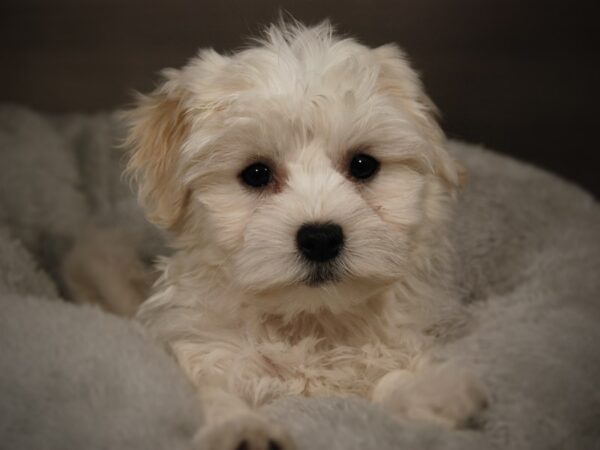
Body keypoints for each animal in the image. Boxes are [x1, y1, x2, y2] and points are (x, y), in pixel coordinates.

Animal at [122, 20, 488, 450]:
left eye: (363, 165)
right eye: (256, 174)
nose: (321, 238)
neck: (309, 322)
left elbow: (390, 380)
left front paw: (435, 392)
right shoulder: (205, 354)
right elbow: (215, 395)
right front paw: (241, 430)